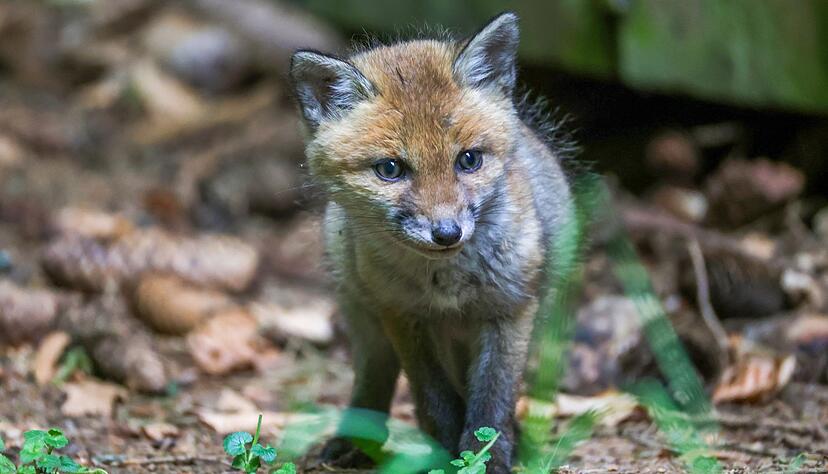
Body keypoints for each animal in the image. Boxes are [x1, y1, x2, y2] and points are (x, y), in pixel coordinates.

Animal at [289, 12, 574, 473]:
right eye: (390, 169)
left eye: (469, 160)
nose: (446, 233)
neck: (447, 283)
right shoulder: (403, 315)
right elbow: (435, 400)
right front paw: (445, 452)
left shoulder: (511, 309)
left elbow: (491, 403)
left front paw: (486, 459)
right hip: (365, 316)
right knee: (375, 379)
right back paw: (356, 441)